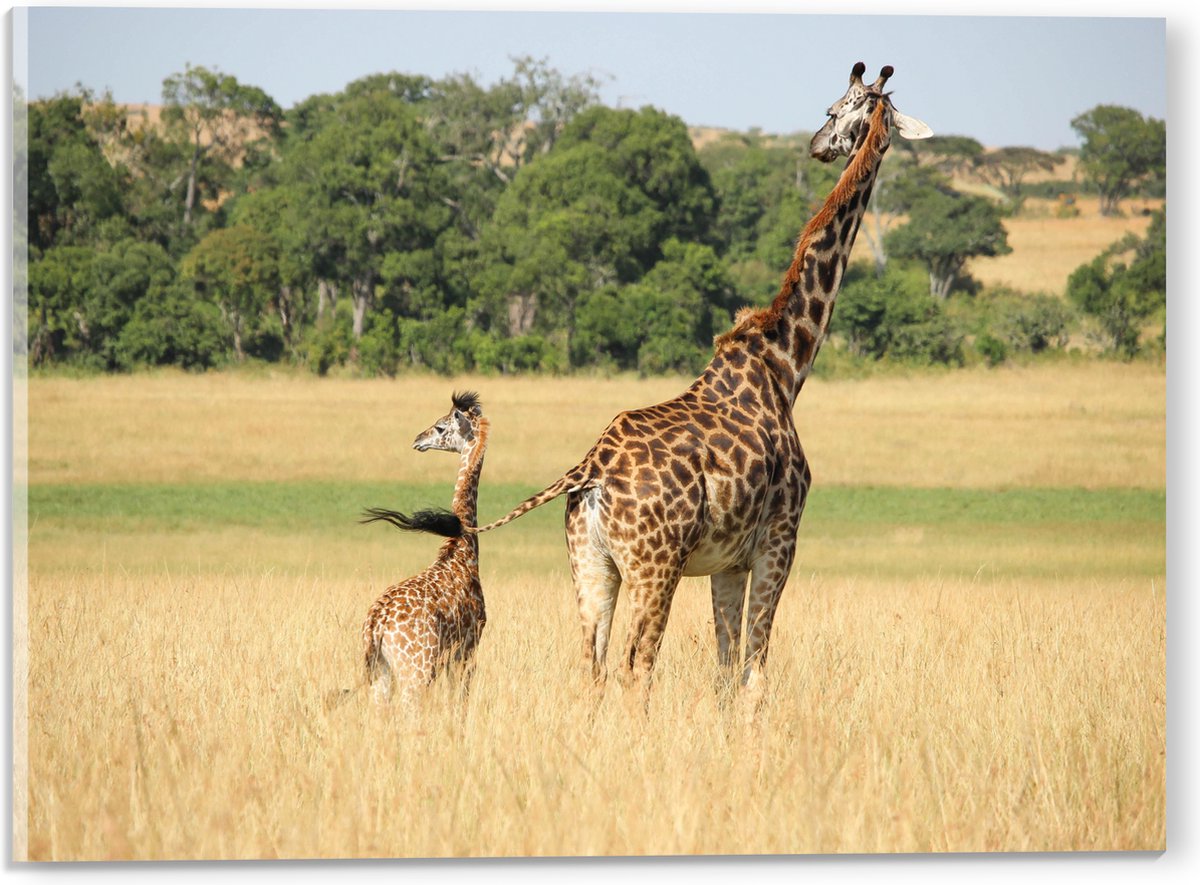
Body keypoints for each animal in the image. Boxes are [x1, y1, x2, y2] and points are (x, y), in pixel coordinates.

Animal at [326, 391, 489, 711]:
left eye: (440, 427)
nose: (418, 439)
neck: (462, 551)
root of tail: (375, 626)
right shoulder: (468, 648)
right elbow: (459, 705)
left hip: (383, 672)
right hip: (416, 671)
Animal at [404, 64, 930, 703]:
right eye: (836, 109)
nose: (818, 145)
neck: (786, 365)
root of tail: (589, 471)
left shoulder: (728, 560)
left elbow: (725, 669)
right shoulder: (780, 538)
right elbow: (754, 667)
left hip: (592, 564)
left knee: (593, 666)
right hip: (656, 566)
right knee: (638, 665)